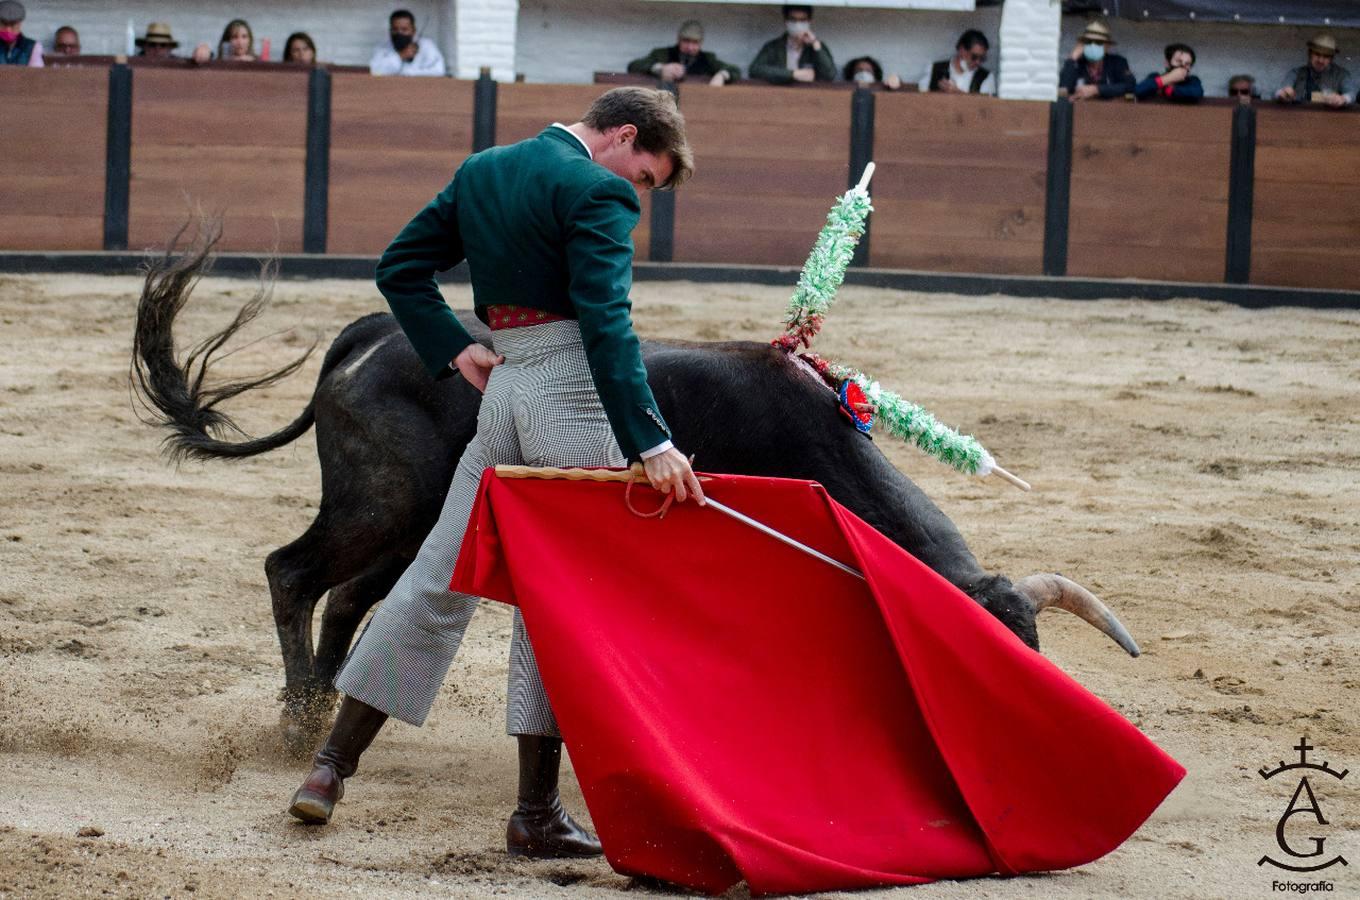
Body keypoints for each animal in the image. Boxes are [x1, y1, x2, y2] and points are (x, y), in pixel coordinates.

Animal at [129, 239, 1136, 745]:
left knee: (343, 598)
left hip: (411, 525)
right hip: (379, 504)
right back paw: (297, 724)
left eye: (1032, 651)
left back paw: (319, 712)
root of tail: (372, 331)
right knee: (293, 573)